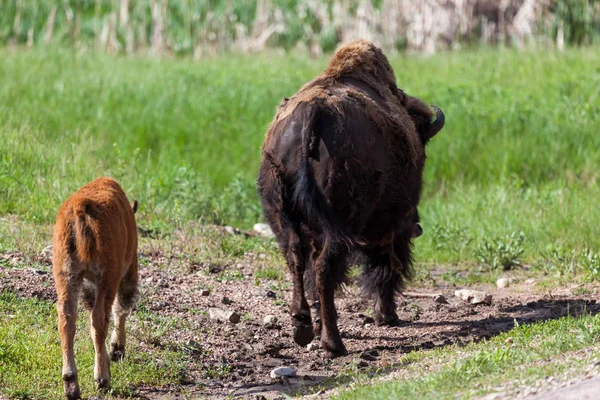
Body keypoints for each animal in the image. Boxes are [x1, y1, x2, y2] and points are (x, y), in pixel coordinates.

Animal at [52, 178, 139, 400]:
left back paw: (71, 384)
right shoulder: (127, 270)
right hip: (108, 277)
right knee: (101, 318)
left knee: (67, 317)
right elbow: (121, 309)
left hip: (66, 275)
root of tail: (80, 206)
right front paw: (116, 351)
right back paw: (102, 380)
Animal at [258, 39, 446, 356]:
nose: (417, 226)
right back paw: (334, 343)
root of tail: (312, 114)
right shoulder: (392, 224)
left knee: (297, 260)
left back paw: (303, 327)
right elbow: (384, 264)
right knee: (324, 269)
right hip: (341, 223)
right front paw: (386, 315)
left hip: (283, 217)